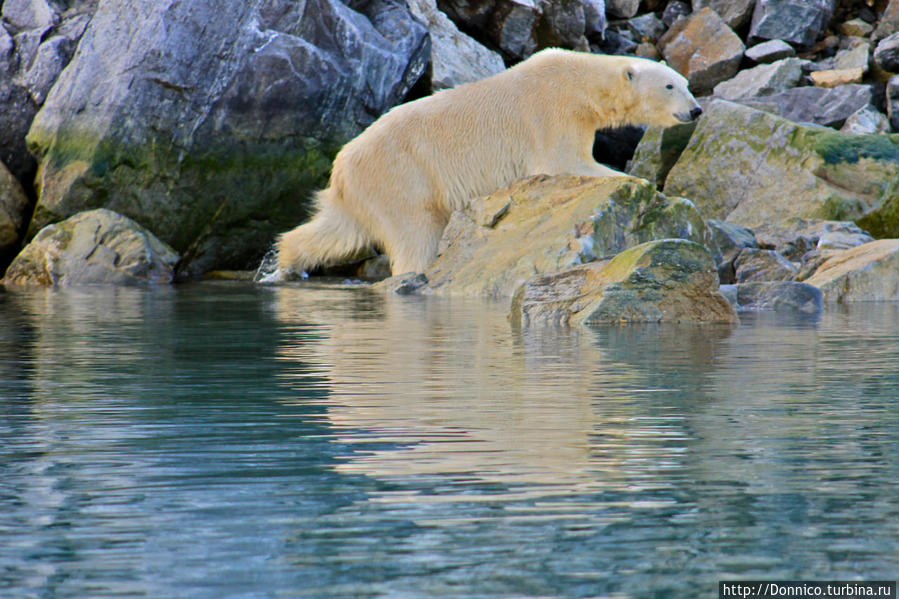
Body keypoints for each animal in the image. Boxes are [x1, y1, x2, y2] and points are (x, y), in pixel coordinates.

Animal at [274, 48, 704, 278]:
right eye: (670, 85)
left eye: (686, 83)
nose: (697, 109)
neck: (580, 82)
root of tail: (341, 168)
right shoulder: (552, 113)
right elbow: (565, 161)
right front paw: (644, 185)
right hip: (400, 174)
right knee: (416, 235)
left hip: (363, 191)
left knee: (335, 230)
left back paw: (286, 262)